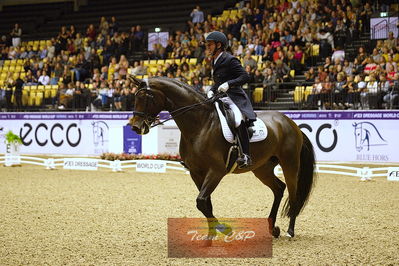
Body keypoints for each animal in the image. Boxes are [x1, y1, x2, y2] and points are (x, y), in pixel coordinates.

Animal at [128, 76, 316, 238]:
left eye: (147, 97)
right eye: (135, 97)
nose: (136, 127)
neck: (200, 124)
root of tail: (291, 123)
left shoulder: (216, 171)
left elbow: (201, 201)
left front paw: (224, 229)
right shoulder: (196, 172)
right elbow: (206, 204)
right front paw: (211, 236)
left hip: (290, 164)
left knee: (293, 194)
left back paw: (289, 231)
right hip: (262, 168)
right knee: (278, 189)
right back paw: (273, 228)